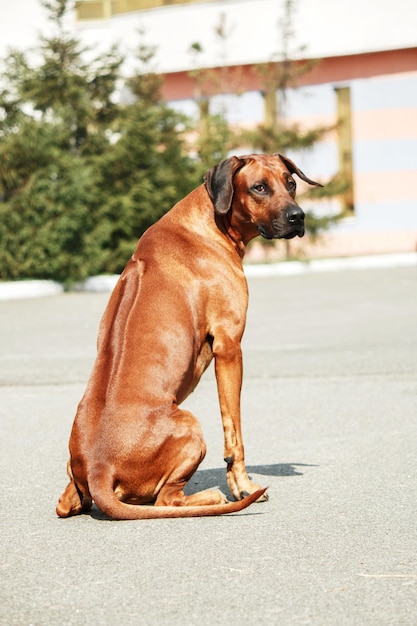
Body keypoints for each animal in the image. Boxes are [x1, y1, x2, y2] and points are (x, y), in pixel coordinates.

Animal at [57, 151, 320, 516]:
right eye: (259, 187)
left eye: (291, 183)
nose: (298, 217)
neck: (210, 223)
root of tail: (99, 470)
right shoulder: (229, 346)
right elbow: (234, 431)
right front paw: (242, 486)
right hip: (190, 425)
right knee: (167, 499)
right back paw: (211, 497)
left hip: (74, 474)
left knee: (65, 503)